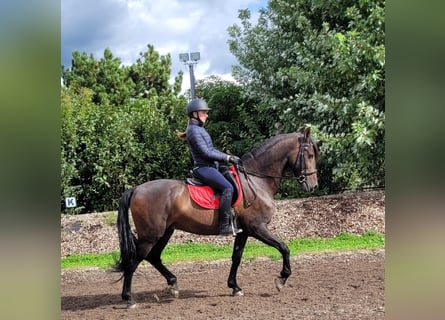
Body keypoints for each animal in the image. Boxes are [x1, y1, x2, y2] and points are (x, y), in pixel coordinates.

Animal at [112, 127, 318, 304]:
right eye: (309, 155)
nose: (313, 186)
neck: (256, 180)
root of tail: (136, 189)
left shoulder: (244, 232)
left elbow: (237, 257)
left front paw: (235, 287)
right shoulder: (257, 228)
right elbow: (284, 248)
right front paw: (281, 279)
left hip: (165, 232)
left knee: (153, 257)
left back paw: (173, 285)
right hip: (151, 235)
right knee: (134, 261)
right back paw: (129, 298)